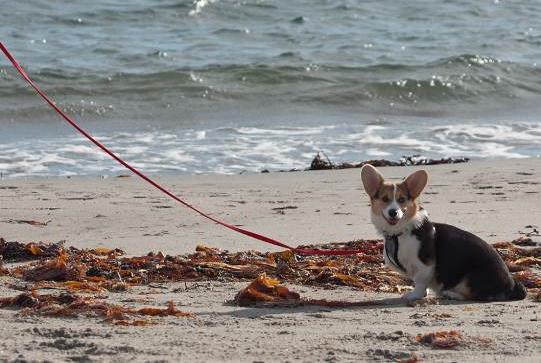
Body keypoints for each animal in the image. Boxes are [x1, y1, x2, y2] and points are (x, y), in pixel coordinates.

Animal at [360, 165, 524, 302]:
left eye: (401, 200)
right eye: (385, 199)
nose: (393, 212)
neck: (399, 233)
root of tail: (512, 285)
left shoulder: (425, 265)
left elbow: (420, 282)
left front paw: (414, 295)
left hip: (470, 278)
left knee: (474, 296)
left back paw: (450, 294)